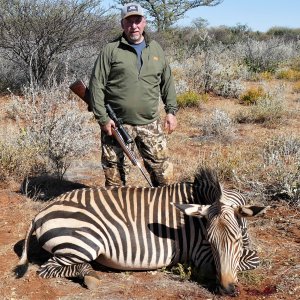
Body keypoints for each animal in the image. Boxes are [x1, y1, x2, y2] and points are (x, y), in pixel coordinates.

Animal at [14, 169, 268, 296]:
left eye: (236, 240)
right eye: (209, 241)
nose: (227, 290)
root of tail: (41, 212)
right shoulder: (200, 254)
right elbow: (252, 260)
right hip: (84, 241)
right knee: (49, 269)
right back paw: (91, 276)